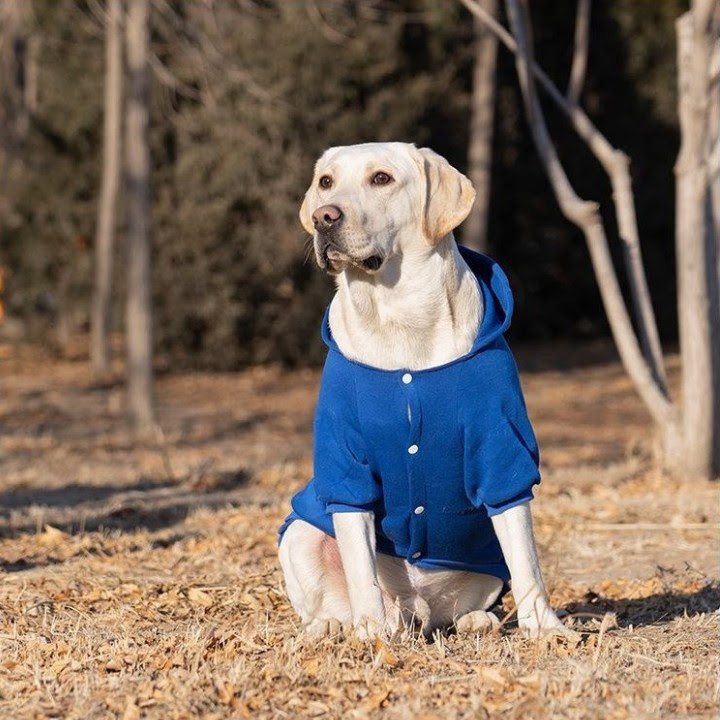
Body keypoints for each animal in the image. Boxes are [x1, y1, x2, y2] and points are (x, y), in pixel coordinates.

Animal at [278, 143, 564, 640]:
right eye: (326, 182)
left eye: (381, 178)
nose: (323, 217)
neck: (397, 316)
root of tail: (418, 608)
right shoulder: (347, 465)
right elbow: (361, 569)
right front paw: (370, 634)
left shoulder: (502, 449)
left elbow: (527, 560)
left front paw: (544, 628)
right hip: (299, 534)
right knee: (336, 601)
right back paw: (337, 626)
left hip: (485, 570)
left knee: (466, 603)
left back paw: (476, 621)